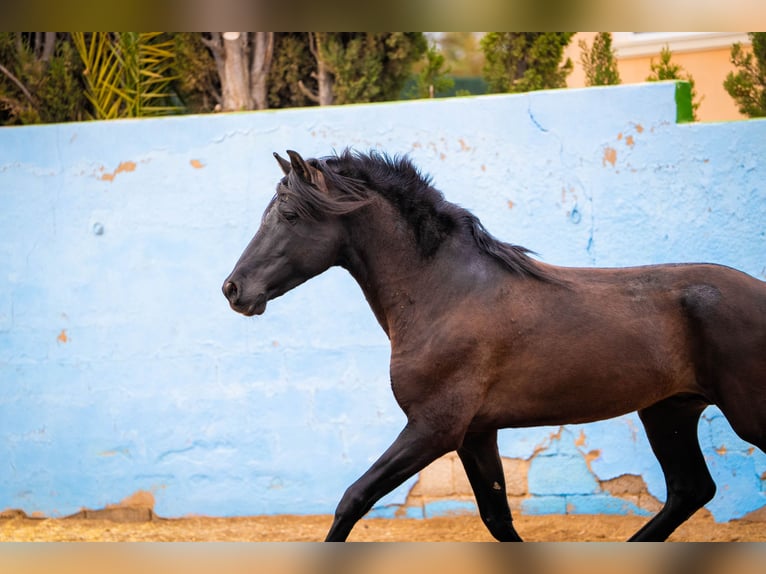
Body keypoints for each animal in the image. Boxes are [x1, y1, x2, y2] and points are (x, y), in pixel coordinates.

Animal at [222, 150, 766, 544]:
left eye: (289, 213)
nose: (234, 289)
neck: (444, 293)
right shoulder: (476, 433)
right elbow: (497, 518)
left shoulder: (434, 429)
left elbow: (353, 500)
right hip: (668, 411)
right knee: (690, 490)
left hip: (742, 414)